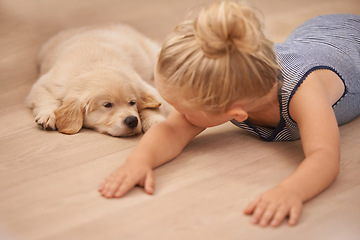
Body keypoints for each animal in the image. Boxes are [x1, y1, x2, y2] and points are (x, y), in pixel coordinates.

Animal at [26, 24, 170, 137]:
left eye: (132, 103)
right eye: (107, 105)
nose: (132, 121)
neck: (95, 66)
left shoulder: (142, 84)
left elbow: (152, 106)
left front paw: (155, 122)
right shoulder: (46, 84)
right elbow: (47, 98)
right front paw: (47, 115)